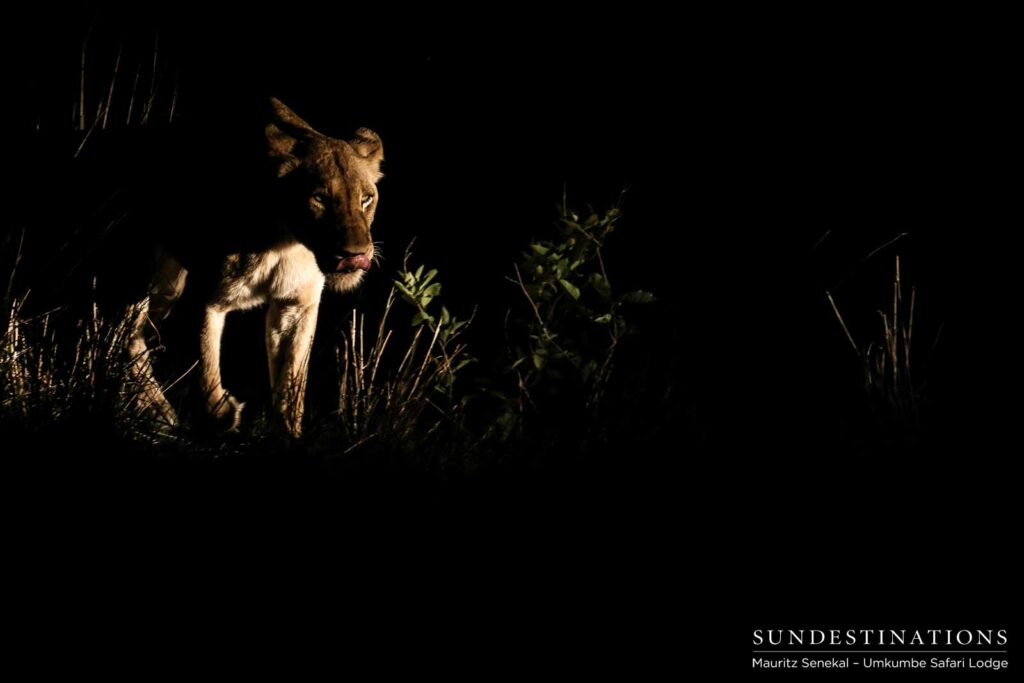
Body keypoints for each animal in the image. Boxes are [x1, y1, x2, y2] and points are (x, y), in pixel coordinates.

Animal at [131, 97, 383, 436]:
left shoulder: (296, 305)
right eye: (319, 198)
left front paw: (287, 434)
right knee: (125, 330)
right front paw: (223, 414)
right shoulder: (205, 297)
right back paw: (159, 411)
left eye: (366, 199)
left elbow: (291, 381)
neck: (285, 241)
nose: (355, 254)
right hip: (152, 275)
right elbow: (205, 365)